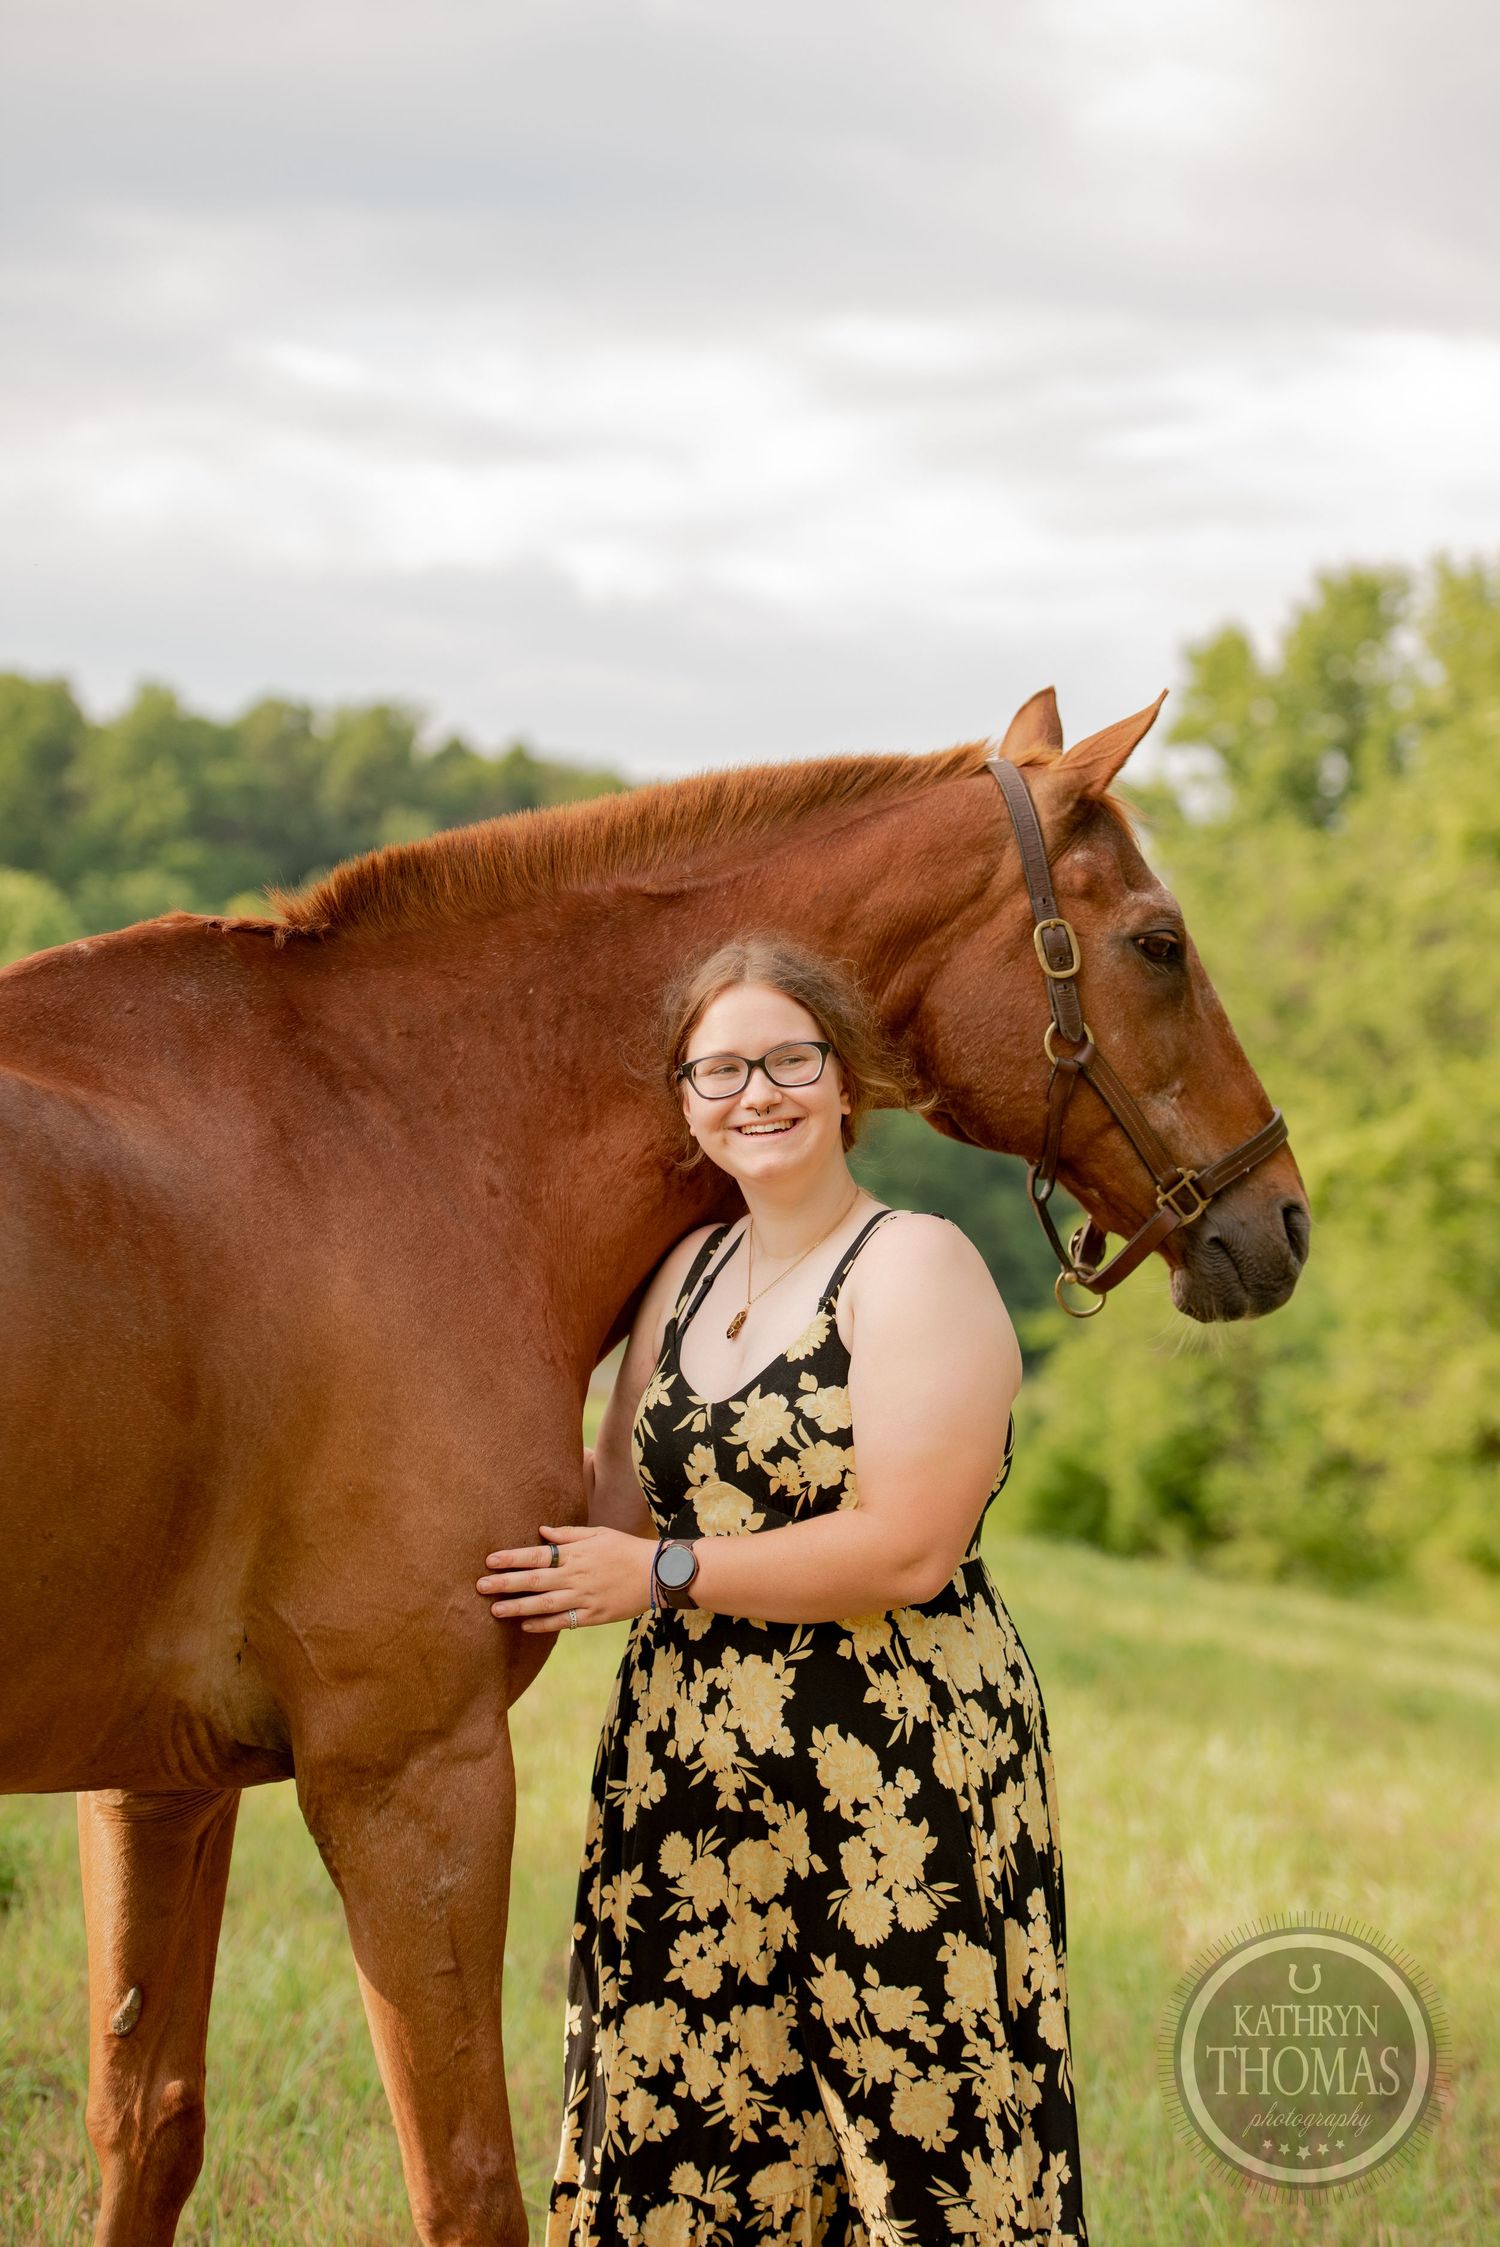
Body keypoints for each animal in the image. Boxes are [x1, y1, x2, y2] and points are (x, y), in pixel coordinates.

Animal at [0, 688, 1308, 2245]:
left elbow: (148, 2124)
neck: (386, 1140)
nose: (1283, 1218)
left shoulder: (158, 1783)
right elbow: (470, 2186)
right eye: (1161, 944)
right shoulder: (409, 1774)